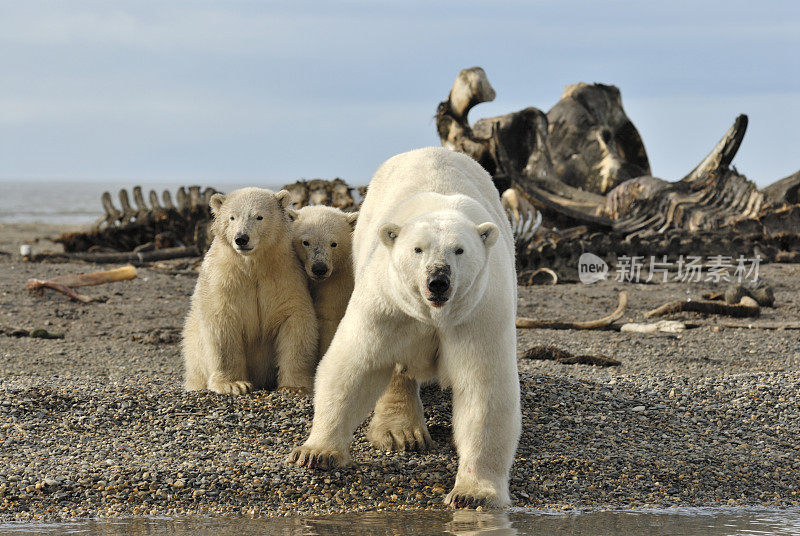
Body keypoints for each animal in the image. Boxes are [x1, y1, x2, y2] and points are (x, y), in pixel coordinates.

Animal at [183, 187, 318, 394]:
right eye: (232, 217)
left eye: (259, 216)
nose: (241, 238)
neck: (252, 266)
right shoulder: (223, 279)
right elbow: (221, 324)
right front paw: (233, 384)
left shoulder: (284, 276)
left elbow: (295, 320)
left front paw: (294, 387)